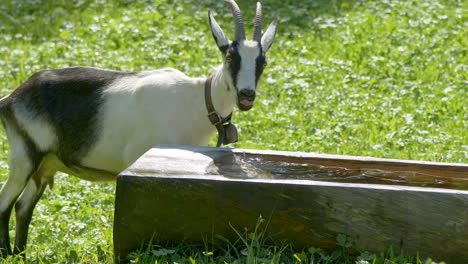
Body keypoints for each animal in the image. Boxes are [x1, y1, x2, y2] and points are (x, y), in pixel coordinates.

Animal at [0, 0, 278, 258]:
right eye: (231, 57)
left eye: (262, 62)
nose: (246, 95)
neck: (195, 99)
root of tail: (11, 99)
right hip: (25, 158)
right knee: (5, 203)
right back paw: (7, 254)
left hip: (44, 165)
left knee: (23, 206)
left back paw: (20, 254)